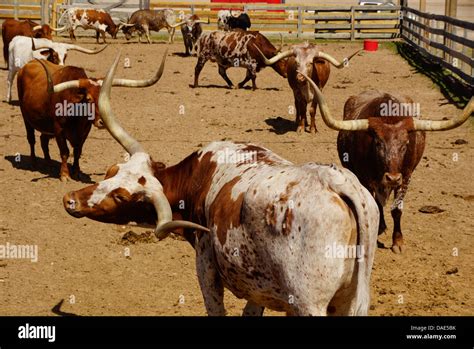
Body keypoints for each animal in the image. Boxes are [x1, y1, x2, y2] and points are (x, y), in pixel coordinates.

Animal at [16, 52, 168, 182]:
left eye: (105, 97)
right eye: (88, 99)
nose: (102, 122)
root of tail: (26, 66)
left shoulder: (84, 131)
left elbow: (77, 151)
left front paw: (76, 172)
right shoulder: (58, 130)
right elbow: (65, 152)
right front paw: (64, 175)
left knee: (43, 140)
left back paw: (48, 163)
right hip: (26, 118)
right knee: (31, 139)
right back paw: (34, 162)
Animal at [300, 71, 474, 253]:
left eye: (406, 144)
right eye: (378, 143)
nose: (392, 178)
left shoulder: (406, 176)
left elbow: (397, 209)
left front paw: (397, 241)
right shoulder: (367, 178)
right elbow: (376, 204)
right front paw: (379, 229)